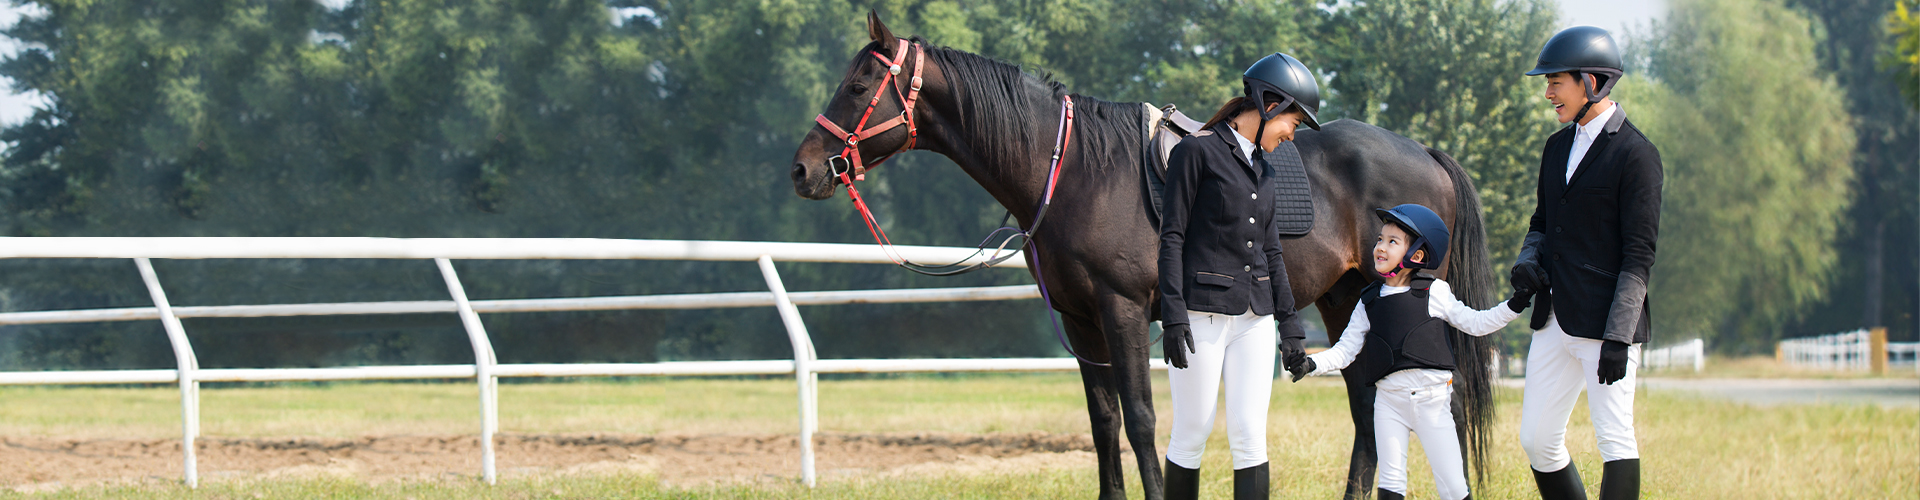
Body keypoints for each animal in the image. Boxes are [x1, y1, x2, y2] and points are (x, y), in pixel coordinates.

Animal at [783, 12, 1497, 500]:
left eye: (859, 85)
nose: (802, 170)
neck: (1075, 171)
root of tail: (1423, 150)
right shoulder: (1081, 322)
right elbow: (1103, 423)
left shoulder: (1122, 311)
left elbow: (1142, 420)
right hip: (1345, 299)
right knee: (1364, 405)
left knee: (1438, 399)